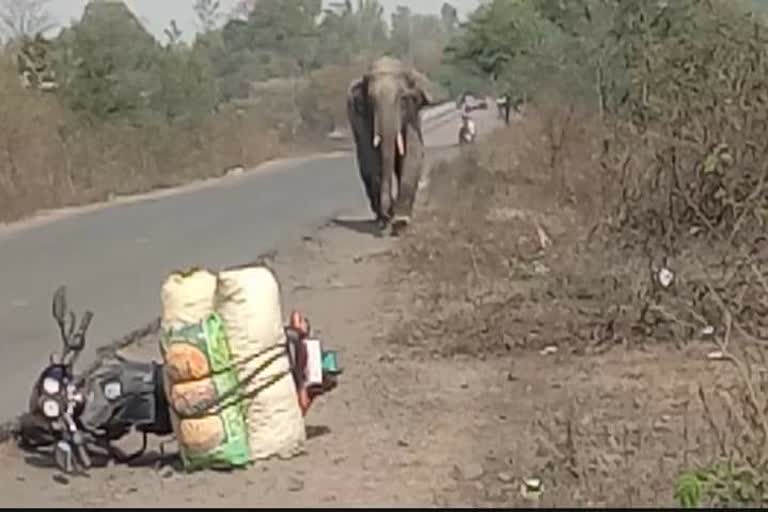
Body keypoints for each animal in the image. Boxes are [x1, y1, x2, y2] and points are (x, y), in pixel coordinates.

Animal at [346, 56, 432, 232]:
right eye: (371, 100)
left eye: (403, 98)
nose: (389, 212)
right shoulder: (362, 118)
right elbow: (370, 158)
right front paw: (387, 218)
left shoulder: (412, 116)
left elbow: (413, 154)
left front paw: (401, 221)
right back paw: (379, 217)